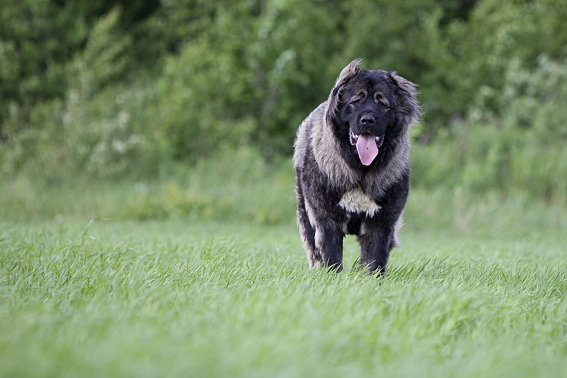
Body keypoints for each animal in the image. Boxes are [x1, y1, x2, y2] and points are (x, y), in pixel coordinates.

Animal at [292, 57, 422, 274]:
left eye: (382, 103)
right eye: (355, 101)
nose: (367, 120)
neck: (361, 170)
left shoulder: (381, 225)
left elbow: (375, 259)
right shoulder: (326, 220)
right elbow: (331, 257)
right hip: (304, 211)